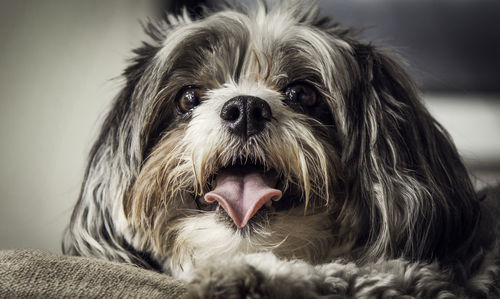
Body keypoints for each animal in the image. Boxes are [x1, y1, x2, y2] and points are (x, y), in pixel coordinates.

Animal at [63, 1, 500, 298]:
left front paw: (245, 277)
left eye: (303, 94)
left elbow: (340, 273)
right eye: (188, 97)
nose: (245, 109)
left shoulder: (421, 277)